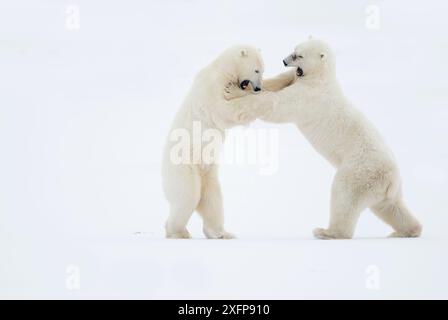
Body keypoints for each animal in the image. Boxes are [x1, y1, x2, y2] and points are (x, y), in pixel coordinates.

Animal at [161, 46, 272, 239]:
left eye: (263, 70)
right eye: (257, 70)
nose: (258, 88)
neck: (223, 69)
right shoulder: (212, 87)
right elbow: (224, 110)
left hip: (208, 173)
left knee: (212, 200)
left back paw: (221, 233)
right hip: (183, 166)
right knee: (188, 195)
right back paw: (177, 232)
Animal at [226, 39, 422, 240]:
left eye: (299, 55)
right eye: (294, 49)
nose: (284, 60)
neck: (322, 79)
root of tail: (391, 179)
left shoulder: (309, 97)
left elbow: (276, 105)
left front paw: (233, 91)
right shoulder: (299, 80)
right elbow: (280, 81)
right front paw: (248, 85)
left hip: (360, 172)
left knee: (344, 196)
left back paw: (327, 232)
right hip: (386, 188)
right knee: (390, 207)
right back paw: (406, 230)